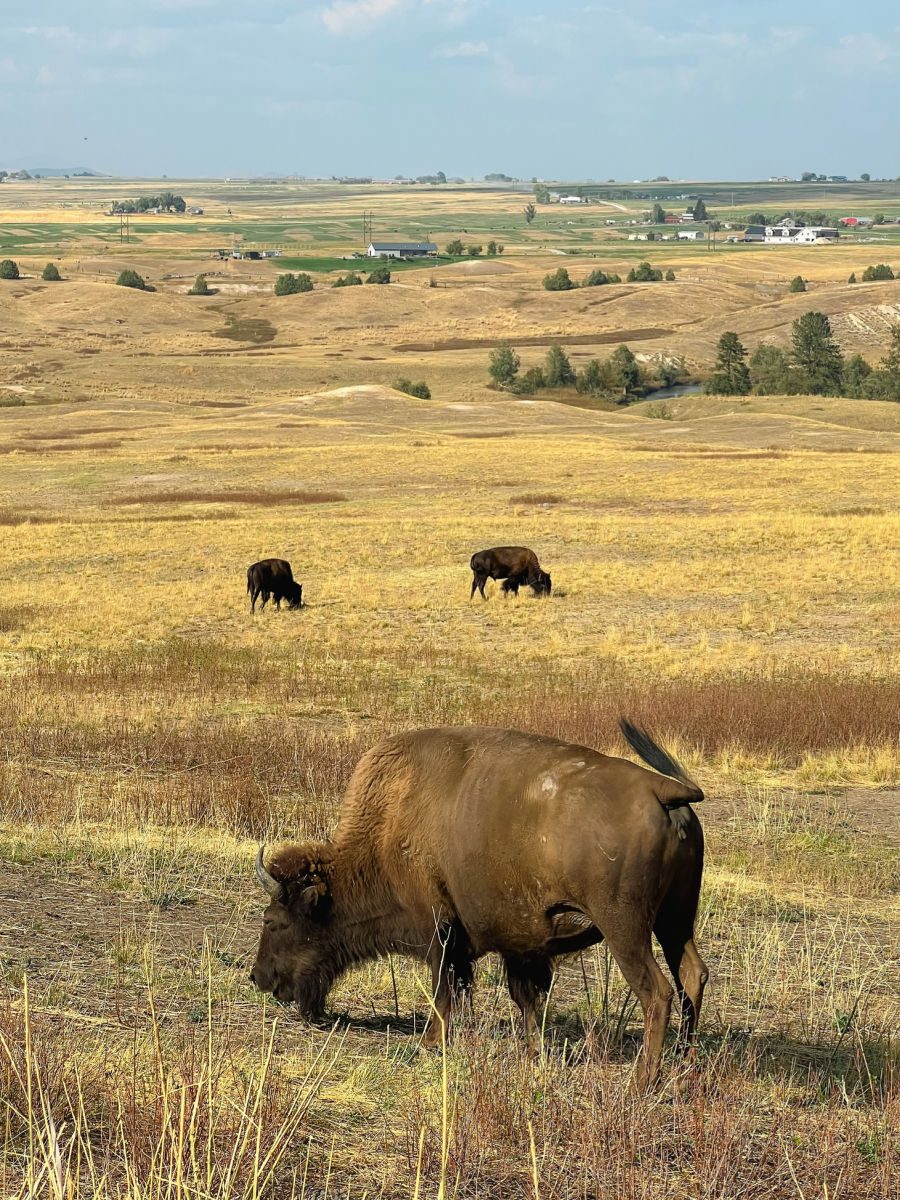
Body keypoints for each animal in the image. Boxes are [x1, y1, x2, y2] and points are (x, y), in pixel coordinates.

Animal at [250, 715, 710, 1094]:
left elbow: (445, 989)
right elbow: (524, 998)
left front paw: (431, 1043)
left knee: (658, 991)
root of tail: (661, 788)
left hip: (625, 927)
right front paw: (533, 1052)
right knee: (691, 974)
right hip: (675, 919)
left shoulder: (438, 930)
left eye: (274, 920)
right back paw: (685, 1062)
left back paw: (644, 1081)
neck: (389, 829)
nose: (259, 977)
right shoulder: (518, 944)